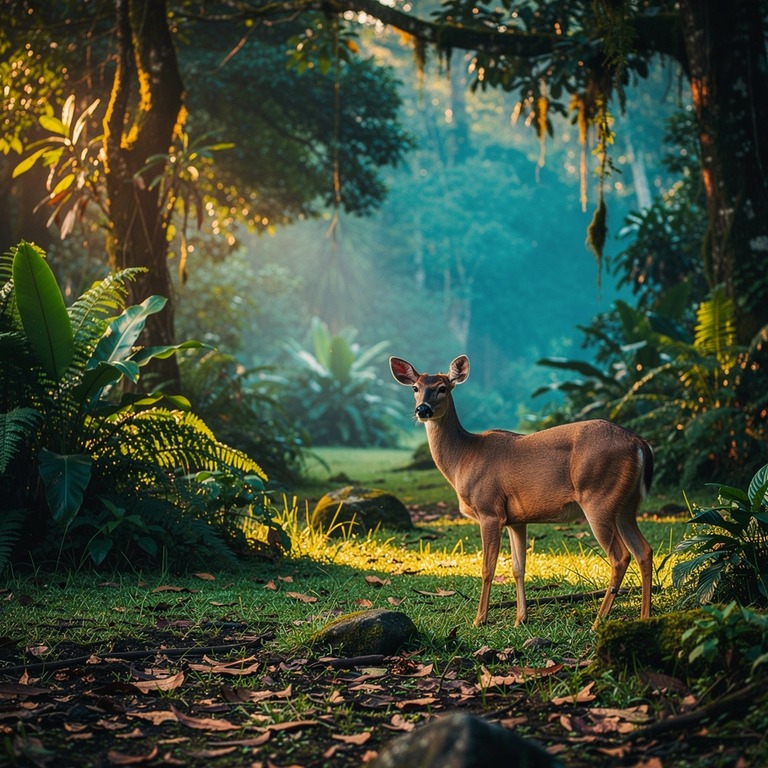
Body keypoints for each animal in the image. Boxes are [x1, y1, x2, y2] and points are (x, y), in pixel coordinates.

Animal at [389, 355, 654, 630]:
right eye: (415, 388)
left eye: (442, 388)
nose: (422, 410)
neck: (464, 458)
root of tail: (640, 443)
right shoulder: (516, 519)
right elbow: (519, 568)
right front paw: (520, 619)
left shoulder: (489, 510)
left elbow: (487, 568)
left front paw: (479, 619)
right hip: (626, 505)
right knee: (644, 550)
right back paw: (645, 617)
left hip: (598, 497)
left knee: (620, 556)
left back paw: (597, 622)